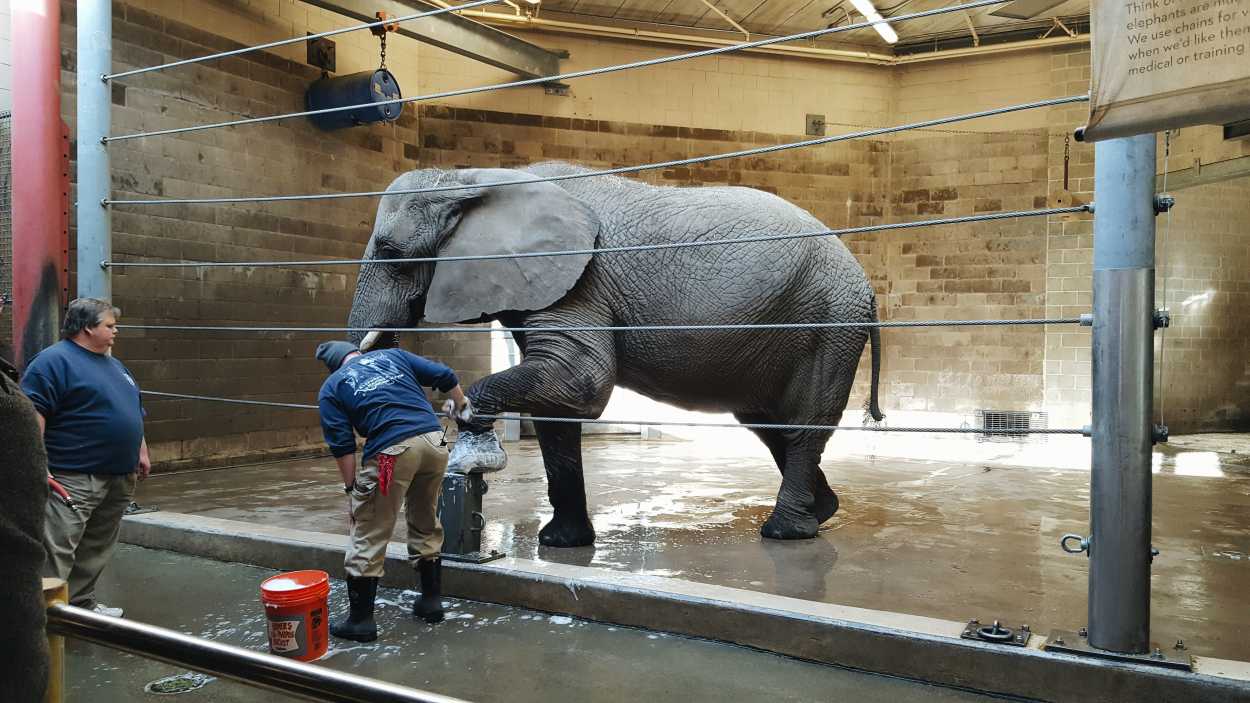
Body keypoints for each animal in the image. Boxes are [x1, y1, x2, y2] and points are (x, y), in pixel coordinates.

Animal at [347, 161, 885, 545]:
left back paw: (785, 532)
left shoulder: (579, 281)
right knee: (766, 423)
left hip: (829, 321)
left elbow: (581, 381)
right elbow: (557, 409)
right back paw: (821, 512)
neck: (473, 179)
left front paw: (467, 421)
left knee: (800, 423)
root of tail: (865, 285)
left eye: (392, 254)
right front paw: (561, 544)